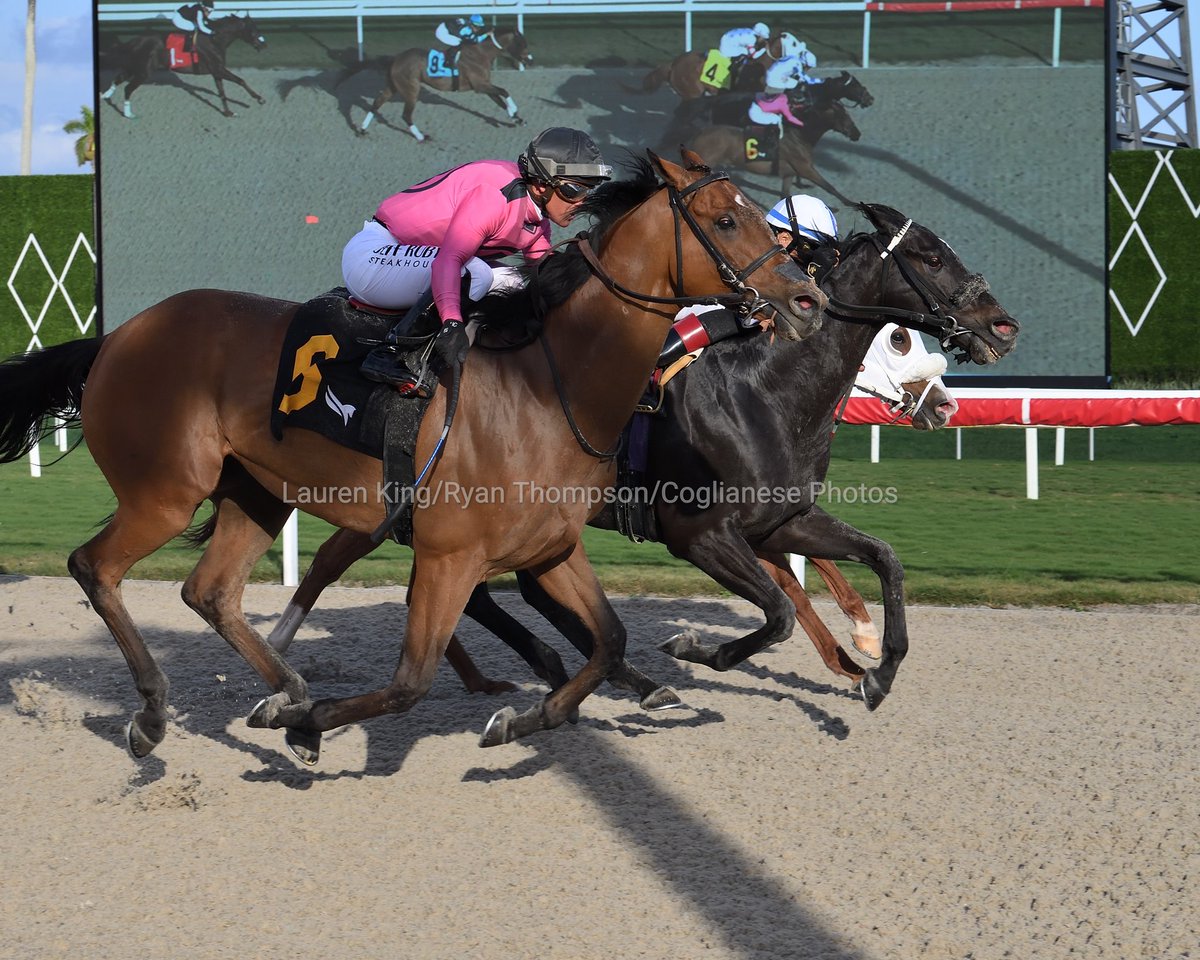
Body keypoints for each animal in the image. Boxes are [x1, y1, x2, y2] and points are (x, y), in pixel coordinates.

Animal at [0, 150, 825, 763]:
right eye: (726, 219)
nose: (807, 300)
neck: (548, 384)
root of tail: (117, 335)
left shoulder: (553, 547)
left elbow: (609, 639)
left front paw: (528, 718)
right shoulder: (451, 555)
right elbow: (410, 682)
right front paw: (309, 728)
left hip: (257, 491)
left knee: (210, 593)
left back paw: (288, 690)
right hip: (166, 490)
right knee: (94, 567)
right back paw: (156, 714)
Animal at [99, 13, 266, 118]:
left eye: (258, 29)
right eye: (252, 31)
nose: (263, 45)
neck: (214, 40)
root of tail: (134, 41)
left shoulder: (216, 72)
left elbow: (221, 92)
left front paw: (228, 112)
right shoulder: (218, 69)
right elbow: (240, 80)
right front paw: (259, 99)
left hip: (134, 67)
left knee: (118, 79)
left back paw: (105, 96)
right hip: (143, 72)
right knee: (128, 88)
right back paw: (128, 114)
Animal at [260, 204, 1012, 710]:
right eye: (932, 258)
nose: (1001, 325)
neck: (767, 389)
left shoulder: (782, 519)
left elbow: (879, 561)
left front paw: (874, 665)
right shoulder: (698, 532)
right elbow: (778, 608)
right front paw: (700, 650)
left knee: (479, 589)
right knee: (360, 566)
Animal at [348, 28, 535, 141]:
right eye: (521, 43)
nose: (530, 60)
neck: (481, 53)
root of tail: (396, 59)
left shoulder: (484, 84)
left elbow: (500, 99)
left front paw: (516, 118)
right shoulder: (479, 86)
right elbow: (504, 92)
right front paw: (514, 111)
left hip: (394, 86)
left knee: (376, 103)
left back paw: (362, 130)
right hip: (411, 90)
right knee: (406, 115)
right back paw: (421, 137)